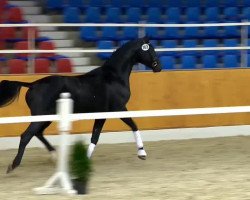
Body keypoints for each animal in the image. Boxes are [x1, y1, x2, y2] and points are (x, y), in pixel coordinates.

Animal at [0, 36, 161, 173]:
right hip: (40, 116)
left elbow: (97, 136)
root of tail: (32, 85)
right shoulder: (117, 109)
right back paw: (13, 165)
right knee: (26, 136)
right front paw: (142, 153)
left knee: (38, 133)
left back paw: (55, 156)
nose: (158, 67)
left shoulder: (105, 113)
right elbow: (131, 126)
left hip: (47, 117)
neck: (114, 77)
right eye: (149, 49)